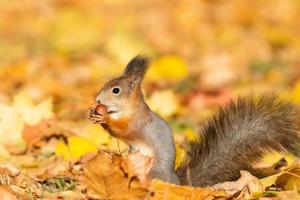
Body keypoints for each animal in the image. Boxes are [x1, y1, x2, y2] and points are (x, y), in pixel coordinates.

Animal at [89, 55, 300, 188]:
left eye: (116, 90)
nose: (97, 99)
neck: (127, 110)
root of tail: (178, 183)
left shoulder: (138, 123)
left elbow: (125, 130)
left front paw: (104, 118)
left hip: (152, 172)